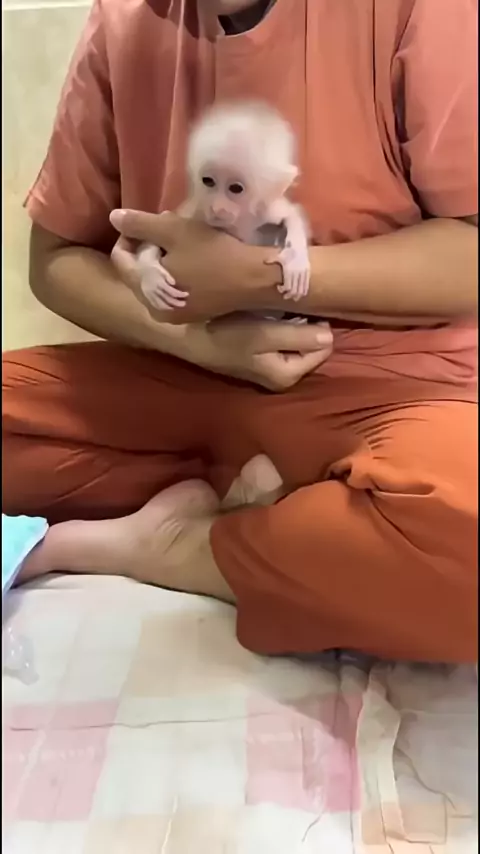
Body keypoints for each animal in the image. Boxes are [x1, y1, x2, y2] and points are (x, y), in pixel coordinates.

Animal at [135, 100, 311, 312]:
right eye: (208, 181)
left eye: (235, 188)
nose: (217, 207)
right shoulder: (197, 210)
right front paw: (151, 275)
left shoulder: (265, 209)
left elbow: (291, 214)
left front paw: (295, 258)